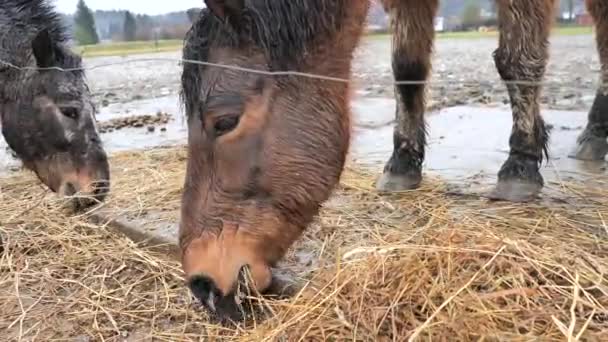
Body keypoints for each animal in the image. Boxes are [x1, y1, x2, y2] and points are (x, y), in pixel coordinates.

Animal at [178, 0, 604, 320]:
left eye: (225, 122)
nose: (202, 284)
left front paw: (521, 164)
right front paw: (403, 163)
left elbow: (517, 60)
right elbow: (407, 67)